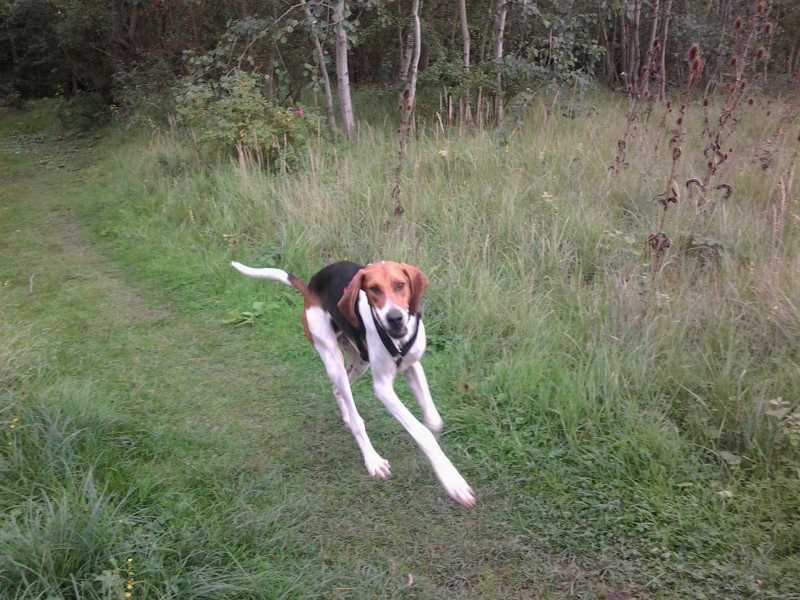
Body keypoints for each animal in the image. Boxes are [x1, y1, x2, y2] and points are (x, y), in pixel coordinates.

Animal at [231, 260, 475, 508]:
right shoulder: (383, 388)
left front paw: (437, 456)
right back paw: (372, 459)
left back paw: (348, 417)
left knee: (339, 390)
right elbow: (421, 432)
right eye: (373, 289)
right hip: (332, 358)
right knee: (354, 413)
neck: (397, 340)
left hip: (359, 362)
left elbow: (433, 421)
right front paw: (452, 480)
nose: (394, 318)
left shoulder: (412, 367)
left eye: (400, 285)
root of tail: (310, 287)